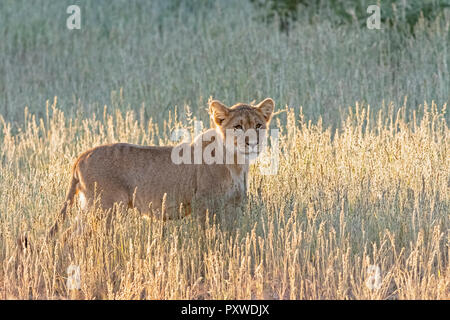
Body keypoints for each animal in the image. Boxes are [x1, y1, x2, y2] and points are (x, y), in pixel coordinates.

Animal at [49, 99, 274, 236]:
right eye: (238, 127)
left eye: (258, 125)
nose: (252, 142)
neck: (236, 162)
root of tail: (81, 156)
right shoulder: (203, 203)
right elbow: (208, 235)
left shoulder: (234, 206)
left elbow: (232, 234)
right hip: (106, 209)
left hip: (91, 207)